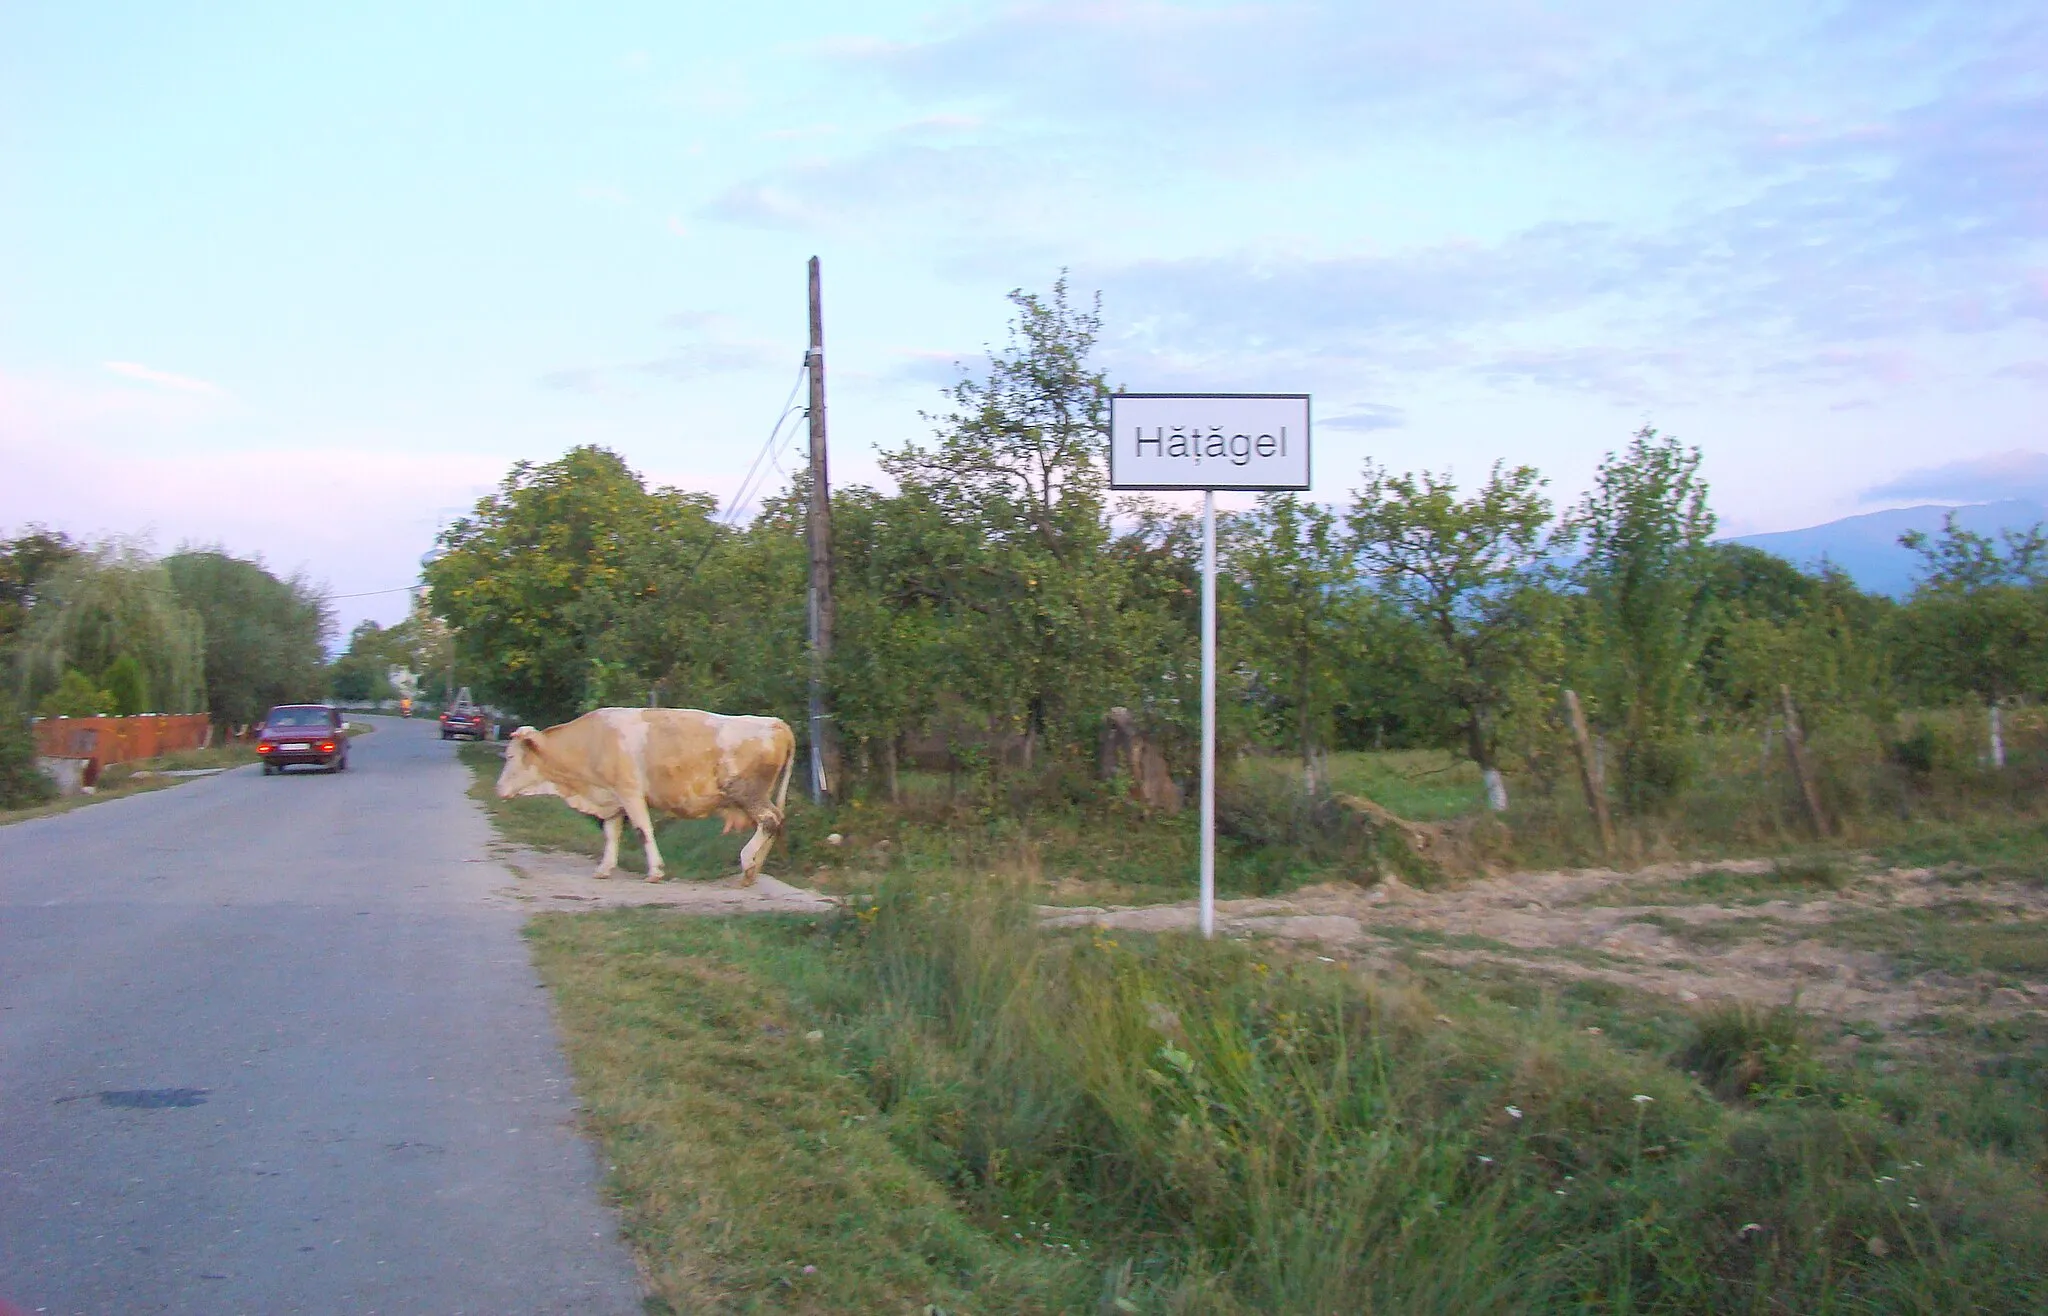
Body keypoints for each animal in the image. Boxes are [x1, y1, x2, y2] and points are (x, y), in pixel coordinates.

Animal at [495, 712, 798, 884]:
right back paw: (755, 869)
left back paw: (747, 863)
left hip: (748, 793)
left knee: (769, 821)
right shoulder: (613, 797)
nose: (498, 789)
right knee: (776, 820)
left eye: (509, 756)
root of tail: (777, 723)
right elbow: (612, 833)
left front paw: (655, 871)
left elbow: (643, 830)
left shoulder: (630, 792)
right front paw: (604, 868)